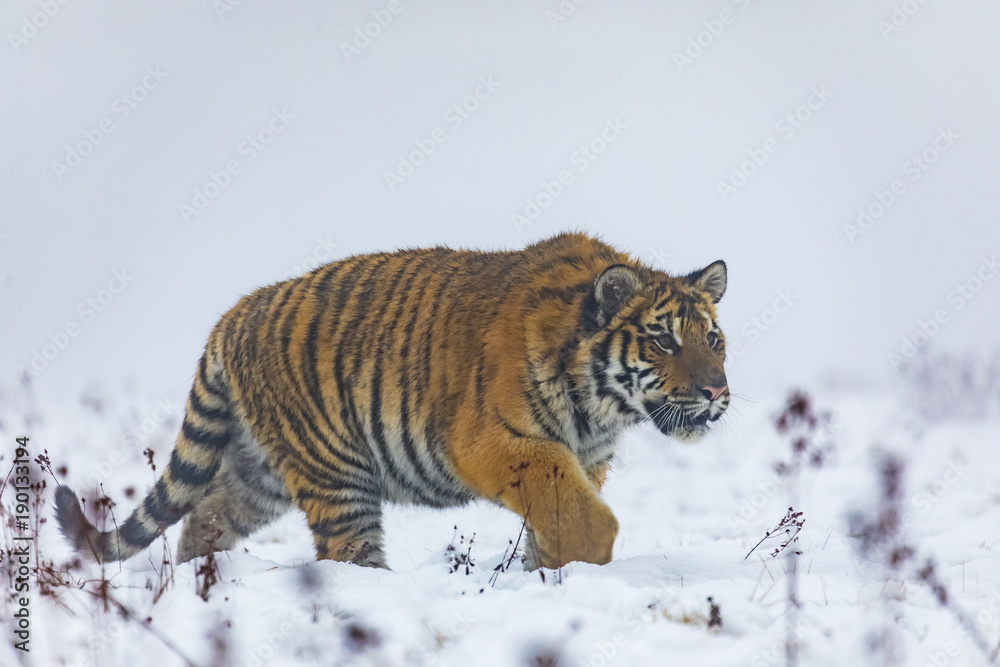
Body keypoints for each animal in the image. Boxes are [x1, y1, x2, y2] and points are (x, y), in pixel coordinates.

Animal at [55, 231, 730, 570]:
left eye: (713, 339)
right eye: (664, 340)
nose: (716, 391)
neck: (603, 409)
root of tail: (234, 313)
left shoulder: (586, 459)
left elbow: (558, 511)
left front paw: (548, 572)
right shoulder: (493, 441)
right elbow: (578, 510)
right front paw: (581, 566)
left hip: (262, 474)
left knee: (205, 517)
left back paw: (199, 587)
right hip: (335, 474)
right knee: (346, 553)